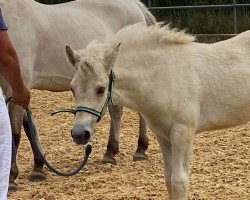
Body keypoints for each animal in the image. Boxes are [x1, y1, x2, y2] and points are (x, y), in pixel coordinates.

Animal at [0, 0, 155, 191]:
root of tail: (135, 5)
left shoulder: (15, 87)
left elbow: (15, 133)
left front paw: (11, 178)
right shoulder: (17, 90)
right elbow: (29, 128)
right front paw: (38, 168)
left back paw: (140, 150)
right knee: (116, 112)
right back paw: (110, 152)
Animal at [66, 23, 250, 200]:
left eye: (101, 89)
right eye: (72, 88)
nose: (79, 134)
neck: (165, 78)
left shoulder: (183, 133)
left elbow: (179, 181)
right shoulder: (163, 135)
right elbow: (168, 178)